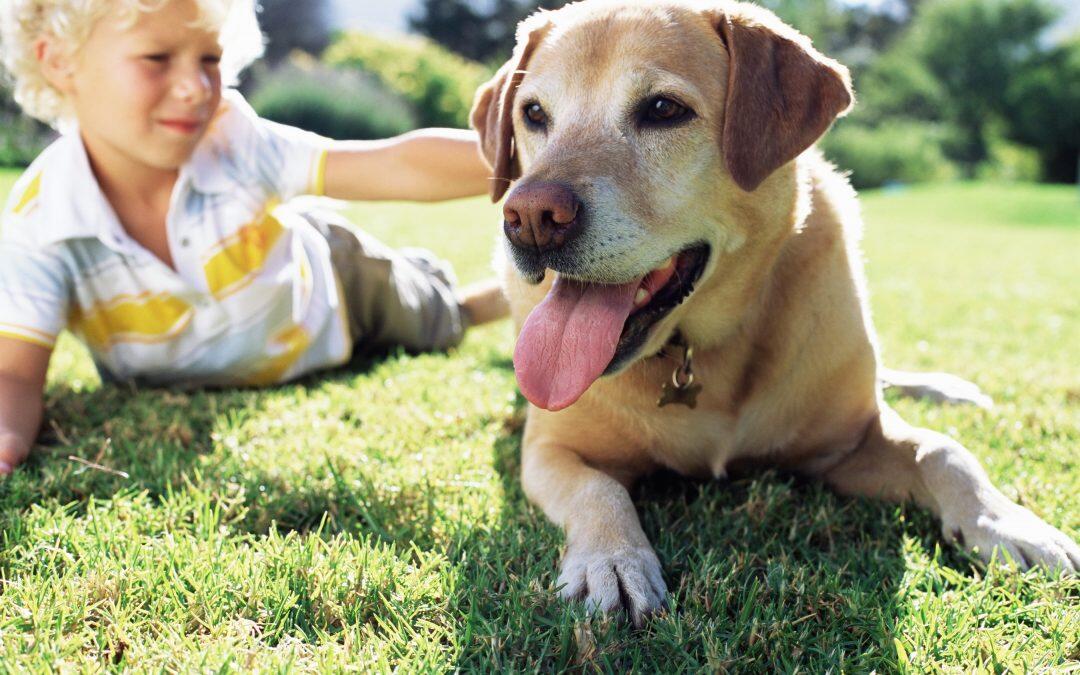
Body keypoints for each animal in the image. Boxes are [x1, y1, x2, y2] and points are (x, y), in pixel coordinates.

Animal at [468, 0, 1075, 622]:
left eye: (663, 109)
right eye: (533, 113)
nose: (530, 217)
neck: (699, 351)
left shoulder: (850, 444)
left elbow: (944, 451)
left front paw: (1007, 524)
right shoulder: (549, 450)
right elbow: (598, 489)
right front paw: (611, 560)